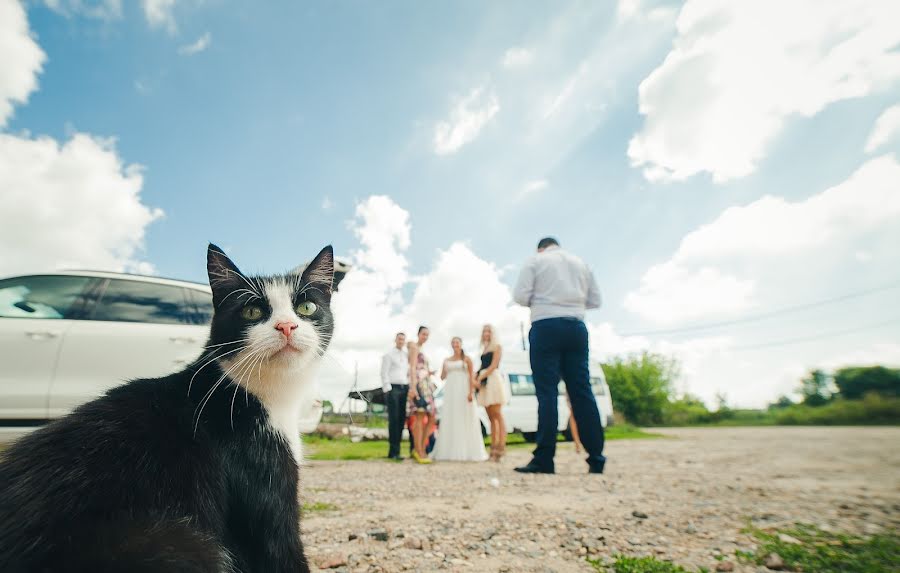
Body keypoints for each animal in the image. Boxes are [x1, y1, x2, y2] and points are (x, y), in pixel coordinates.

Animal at [0, 245, 334, 572]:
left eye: (306, 308)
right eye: (252, 311)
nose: (286, 325)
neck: (264, 397)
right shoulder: (259, 477)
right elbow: (279, 552)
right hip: (182, 543)